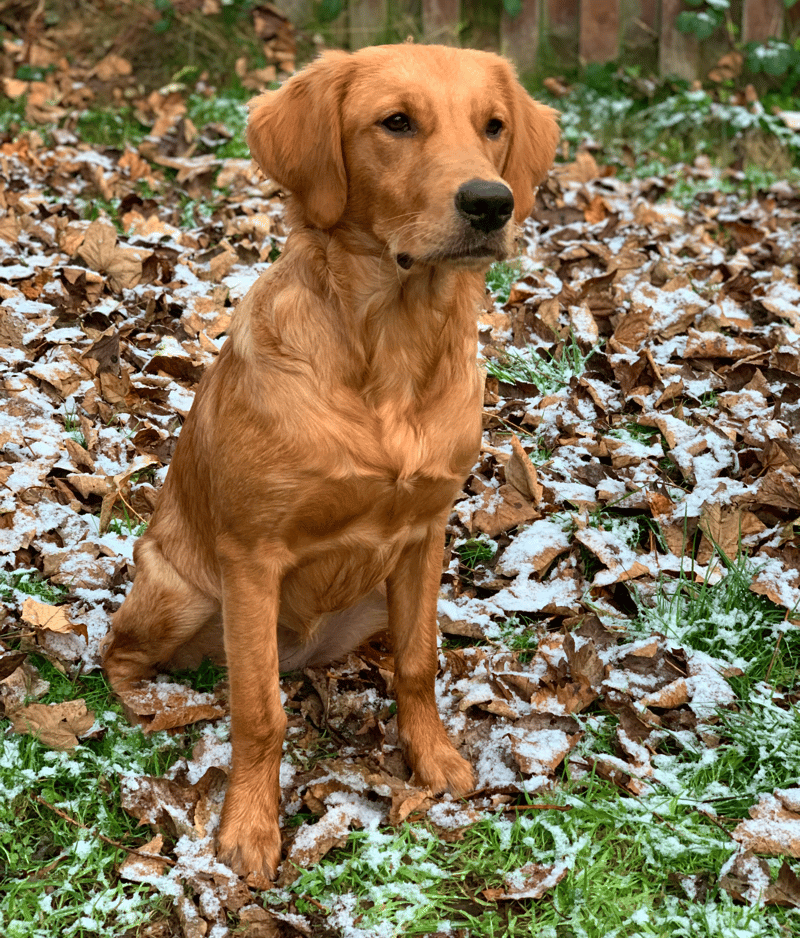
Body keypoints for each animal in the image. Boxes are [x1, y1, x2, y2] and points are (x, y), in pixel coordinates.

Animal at [103, 42, 560, 880]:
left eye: (493, 126)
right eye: (397, 122)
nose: (491, 203)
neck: (391, 349)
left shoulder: (425, 533)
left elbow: (419, 663)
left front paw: (433, 758)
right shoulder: (252, 556)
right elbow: (258, 712)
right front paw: (249, 828)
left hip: (374, 595)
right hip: (176, 591)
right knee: (122, 655)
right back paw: (166, 705)